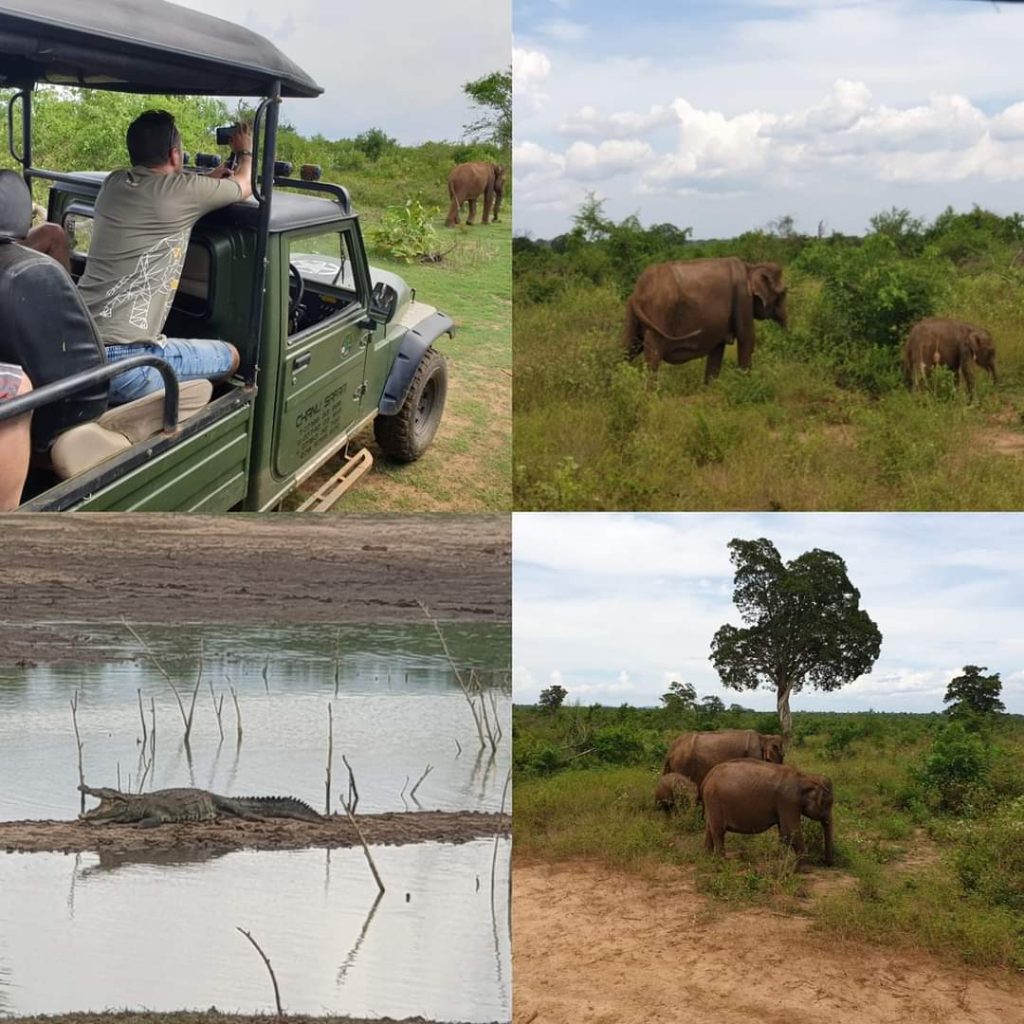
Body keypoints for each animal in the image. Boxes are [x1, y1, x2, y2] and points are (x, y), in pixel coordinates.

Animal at [618, 258, 786, 382]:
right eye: (784, 293)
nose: (786, 329)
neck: (751, 266)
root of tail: (638, 291)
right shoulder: (743, 299)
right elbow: (747, 338)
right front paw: (747, 384)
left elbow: (718, 348)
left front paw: (710, 388)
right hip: (660, 312)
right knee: (653, 352)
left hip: (632, 313)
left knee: (628, 346)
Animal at [700, 761, 835, 864]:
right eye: (828, 804)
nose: (824, 861)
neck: (806, 777)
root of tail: (708, 776)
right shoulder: (788, 801)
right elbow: (792, 830)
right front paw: (804, 866)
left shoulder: (786, 805)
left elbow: (784, 832)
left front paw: (783, 859)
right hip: (714, 800)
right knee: (718, 831)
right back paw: (721, 862)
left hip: (712, 803)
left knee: (710, 828)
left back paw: (707, 857)